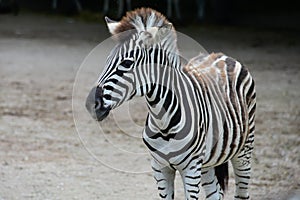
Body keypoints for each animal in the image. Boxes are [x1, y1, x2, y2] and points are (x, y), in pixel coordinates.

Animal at [85, 7, 256, 199]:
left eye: (127, 63)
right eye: (106, 61)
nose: (91, 104)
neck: (163, 122)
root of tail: (222, 55)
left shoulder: (191, 169)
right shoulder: (160, 168)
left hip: (244, 150)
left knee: (242, 191)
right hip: (208, 163)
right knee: (215, 193)